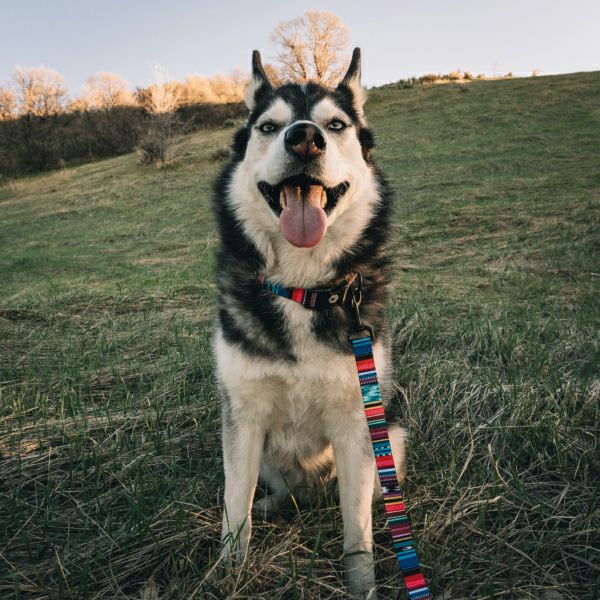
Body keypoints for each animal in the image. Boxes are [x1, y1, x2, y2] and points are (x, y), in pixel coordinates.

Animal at [212, 48, 405, 598]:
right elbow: (234, 507)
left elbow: (357, 530)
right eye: (269, 126)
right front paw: (229, 572)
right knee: (273, 492)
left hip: (392, 434)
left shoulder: (357, 420)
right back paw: (274, 504)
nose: (303, 137)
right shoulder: (242, 416)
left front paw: (362, 583)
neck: (302, 288)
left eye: (335, 125)